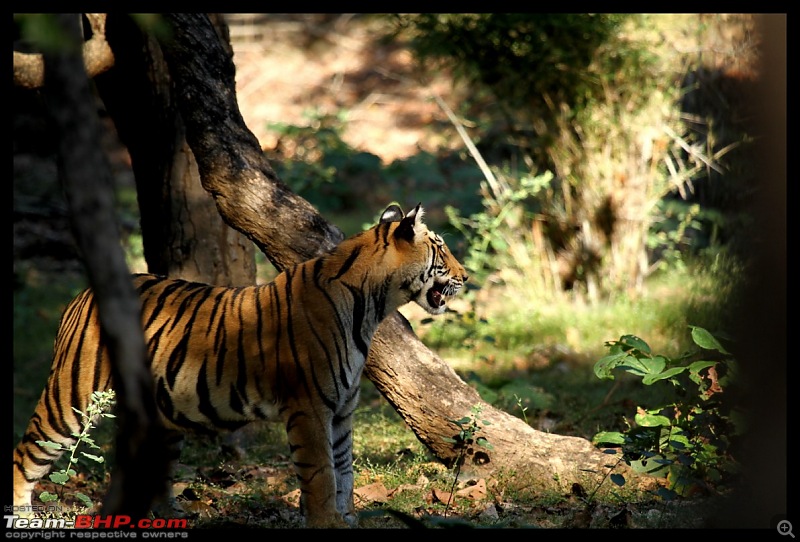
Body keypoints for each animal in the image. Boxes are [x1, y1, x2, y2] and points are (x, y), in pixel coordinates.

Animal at [12, 205, 468, 532]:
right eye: (441, 248)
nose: (466, 276)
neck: (372, 306)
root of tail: (82, 295)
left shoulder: (341, 411)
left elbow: (345, 469)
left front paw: (348, 519)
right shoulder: (310, 407)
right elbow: (322, 473)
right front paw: (328, 523)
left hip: (160, 416)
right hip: (70, 399)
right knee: (25, 453)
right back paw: (24, 517)